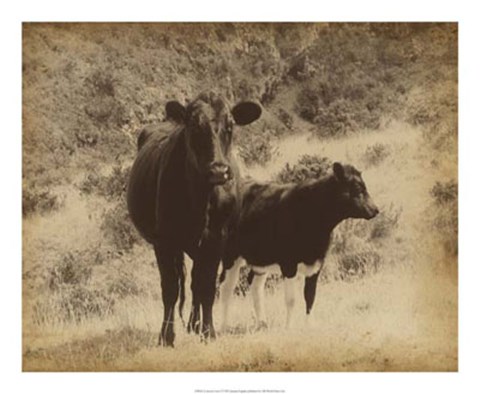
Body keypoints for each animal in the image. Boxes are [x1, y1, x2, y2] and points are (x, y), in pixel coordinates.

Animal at [126, 91, 262, 344]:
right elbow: (170, 288)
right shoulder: (164, 241)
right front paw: (166, 336)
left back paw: (195, 324)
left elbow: (206, 287)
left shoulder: (216, 239)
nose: (218, 170)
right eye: (194, 127)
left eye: (230, 126)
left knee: (196, 283)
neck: (201, 197)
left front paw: (208, 332)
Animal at [218, 162, 378, 330]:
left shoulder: (317, 263)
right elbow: (291, 300)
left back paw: (262, 323)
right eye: (357, 188)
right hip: (230, 256)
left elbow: (310, 297)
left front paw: (309, 325)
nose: (375, 209)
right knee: (225, 287)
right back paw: (224, 326)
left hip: (260, 259)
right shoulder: (288, 264)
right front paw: (289, 327)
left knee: (255, 285)